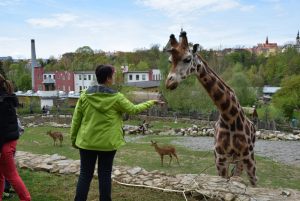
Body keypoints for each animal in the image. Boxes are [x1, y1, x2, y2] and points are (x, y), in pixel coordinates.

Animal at [165, 30, 256, 186]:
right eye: (170, 60)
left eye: (188, 59)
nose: (169, 83)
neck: (230, 117)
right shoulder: (220, 159)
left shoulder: (248, 158)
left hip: (242, 159)